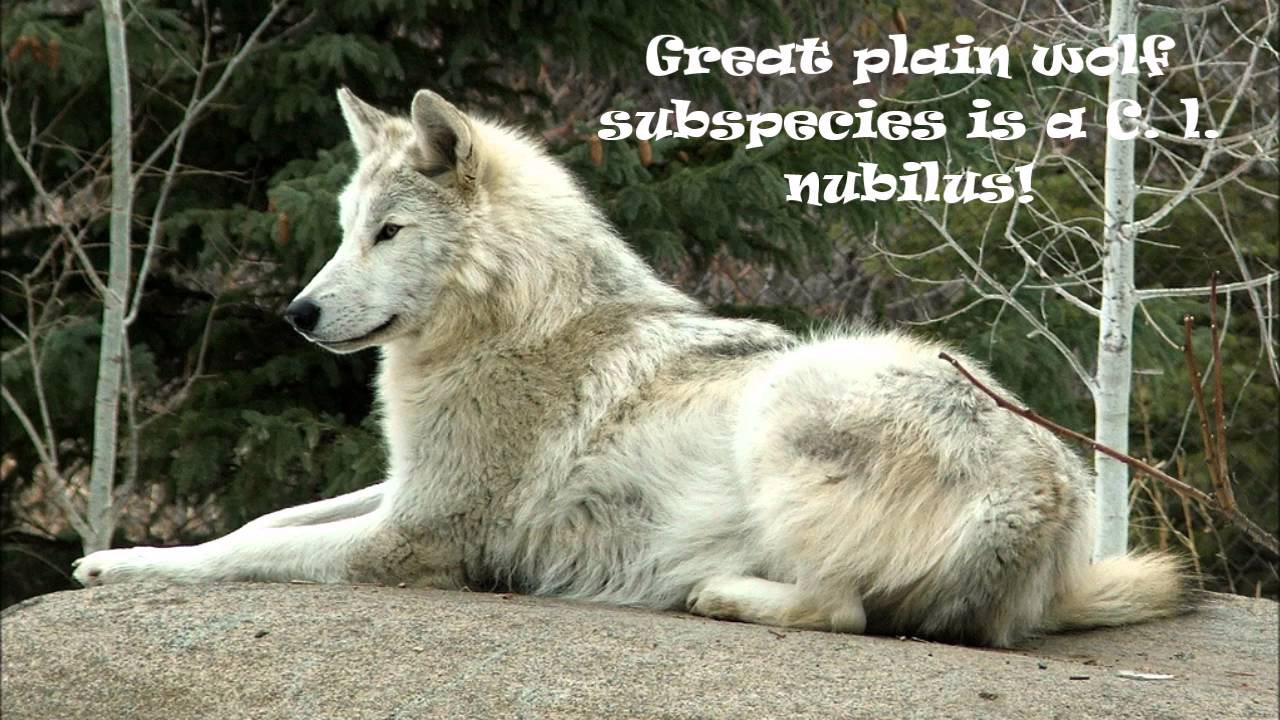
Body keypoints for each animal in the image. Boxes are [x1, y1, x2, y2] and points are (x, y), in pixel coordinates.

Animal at [73, 88, 1190, 646]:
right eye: (348, 229)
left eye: (388, 233)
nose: (298, 314)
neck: (515, 322)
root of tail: (1049, 502)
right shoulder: (405, 486)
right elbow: (263, 522)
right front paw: (130, 549)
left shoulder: (414, 539)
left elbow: (237, 556)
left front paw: (121, 563)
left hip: (788, 400)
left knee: (840, 609)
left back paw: (719, 596)